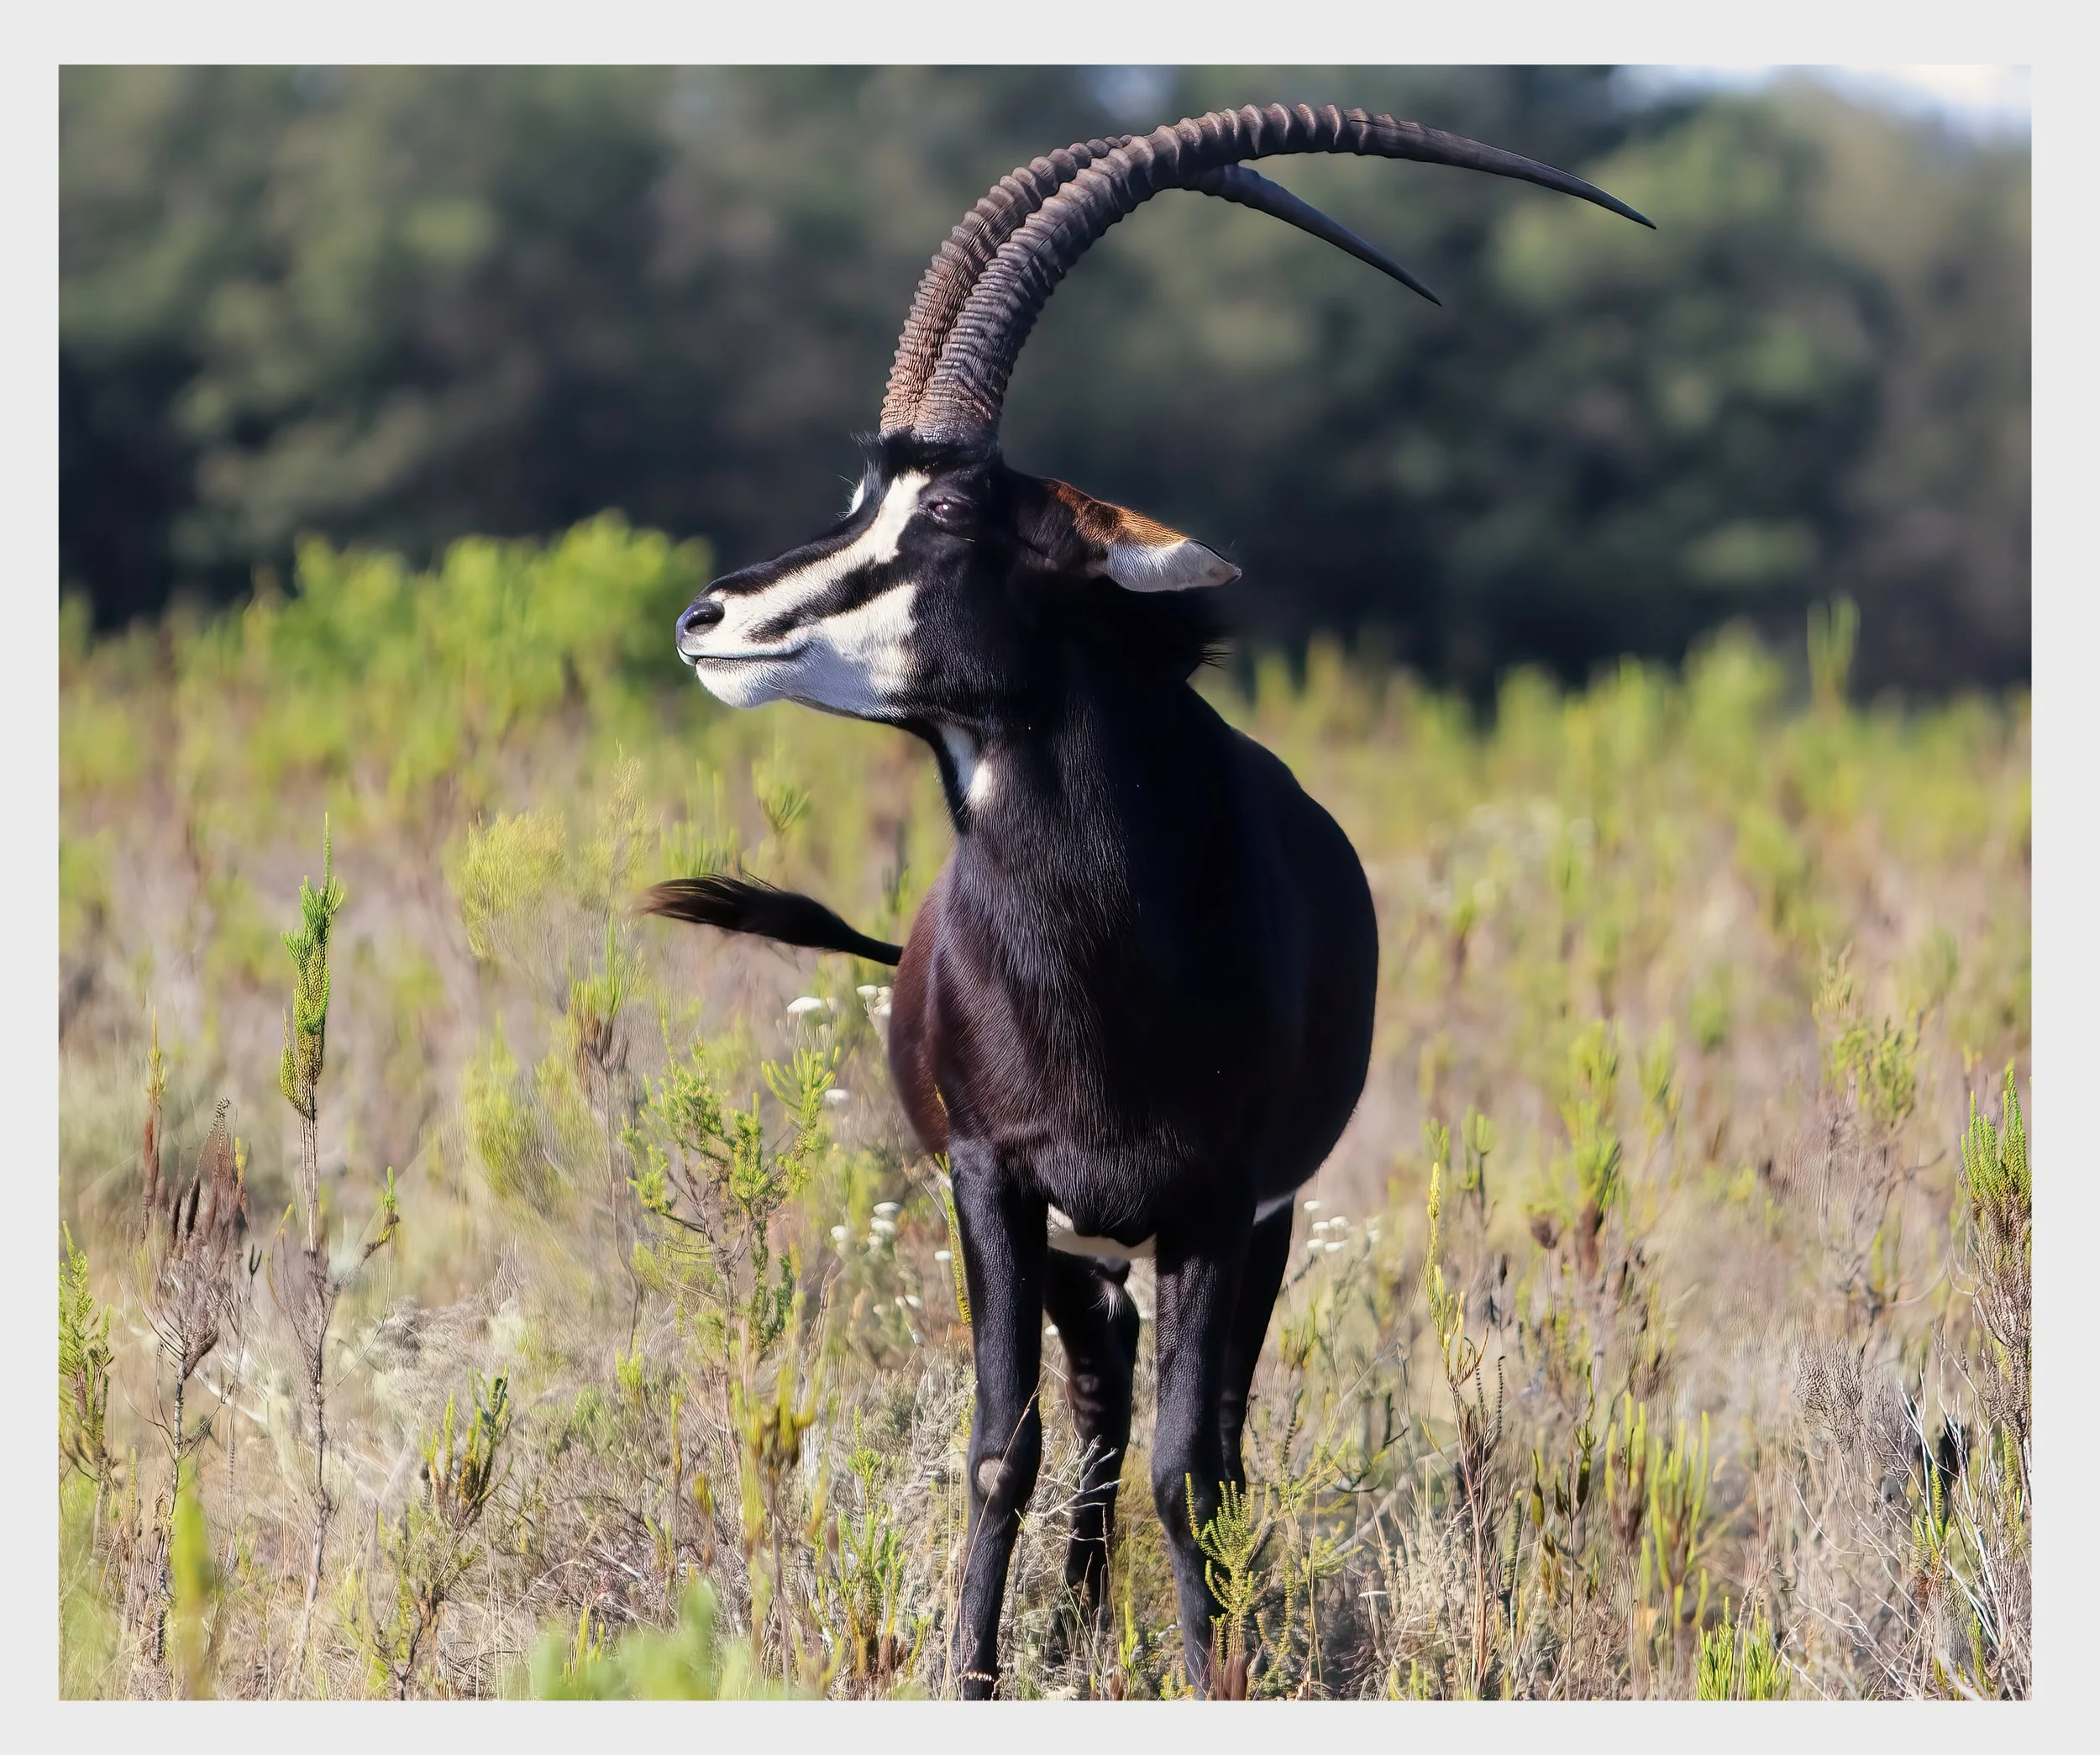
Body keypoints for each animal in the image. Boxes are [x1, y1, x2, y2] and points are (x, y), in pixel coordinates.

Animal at [645, 103, 1649, 1697]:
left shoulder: (1221, 1204)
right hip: (1079, 1245)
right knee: (1097, 1402)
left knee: (1189, 1430)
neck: (1103, 946)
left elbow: (1198, 1468)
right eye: (861, 496)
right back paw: (1071, 1616)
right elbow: (1001, 1449)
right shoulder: (993, 1181)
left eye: (944, 508)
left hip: (1234, 1238)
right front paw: (977, 1671)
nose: (707, 616)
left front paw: (1208, 1666)